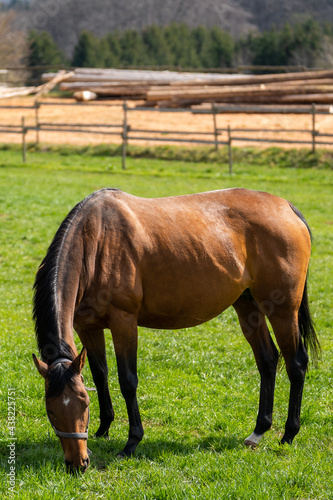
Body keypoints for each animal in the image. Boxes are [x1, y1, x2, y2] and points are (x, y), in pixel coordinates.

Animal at [32, 188, 318, 472]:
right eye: (51, 410)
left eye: (83, 405)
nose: (77, 463)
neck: (97, 239)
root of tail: (286, 207)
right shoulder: (88, 327)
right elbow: (100, 374)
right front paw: (104, 428)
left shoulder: (124, 322)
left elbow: (128, 380)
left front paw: (132, 442)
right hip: (248, 305)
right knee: (267, 361)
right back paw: (258, 431)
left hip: (283, 311)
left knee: (296, 363)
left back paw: (289, 434)